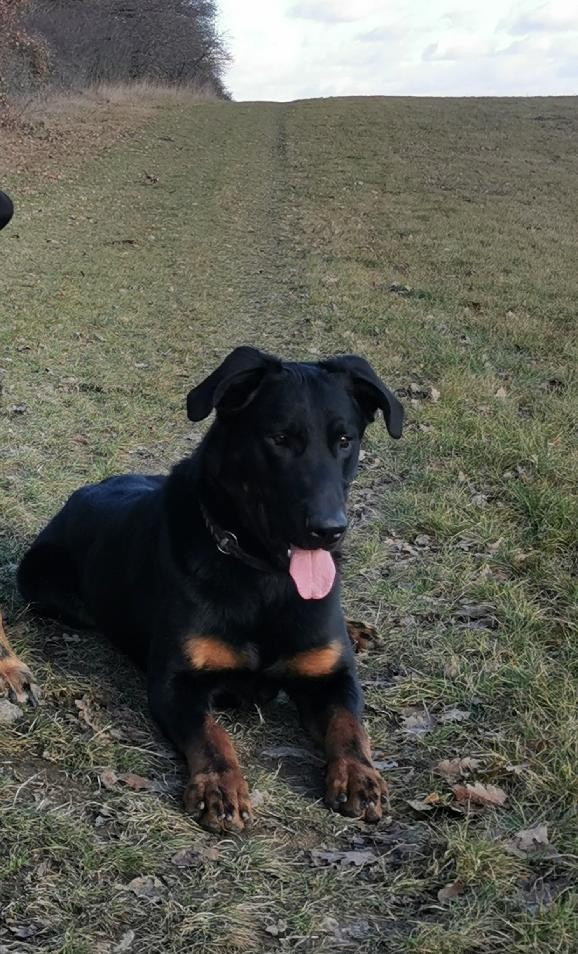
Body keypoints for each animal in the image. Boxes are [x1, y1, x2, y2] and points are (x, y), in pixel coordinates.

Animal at [18, 347, 403, 831]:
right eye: (279, 438)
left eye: (345, 440)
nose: (329, 530)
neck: (263, 577)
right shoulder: (177, 682)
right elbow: (211, 733)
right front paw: (220, 785)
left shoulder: (332, 677)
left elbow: (350, 725)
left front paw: (357, 774)